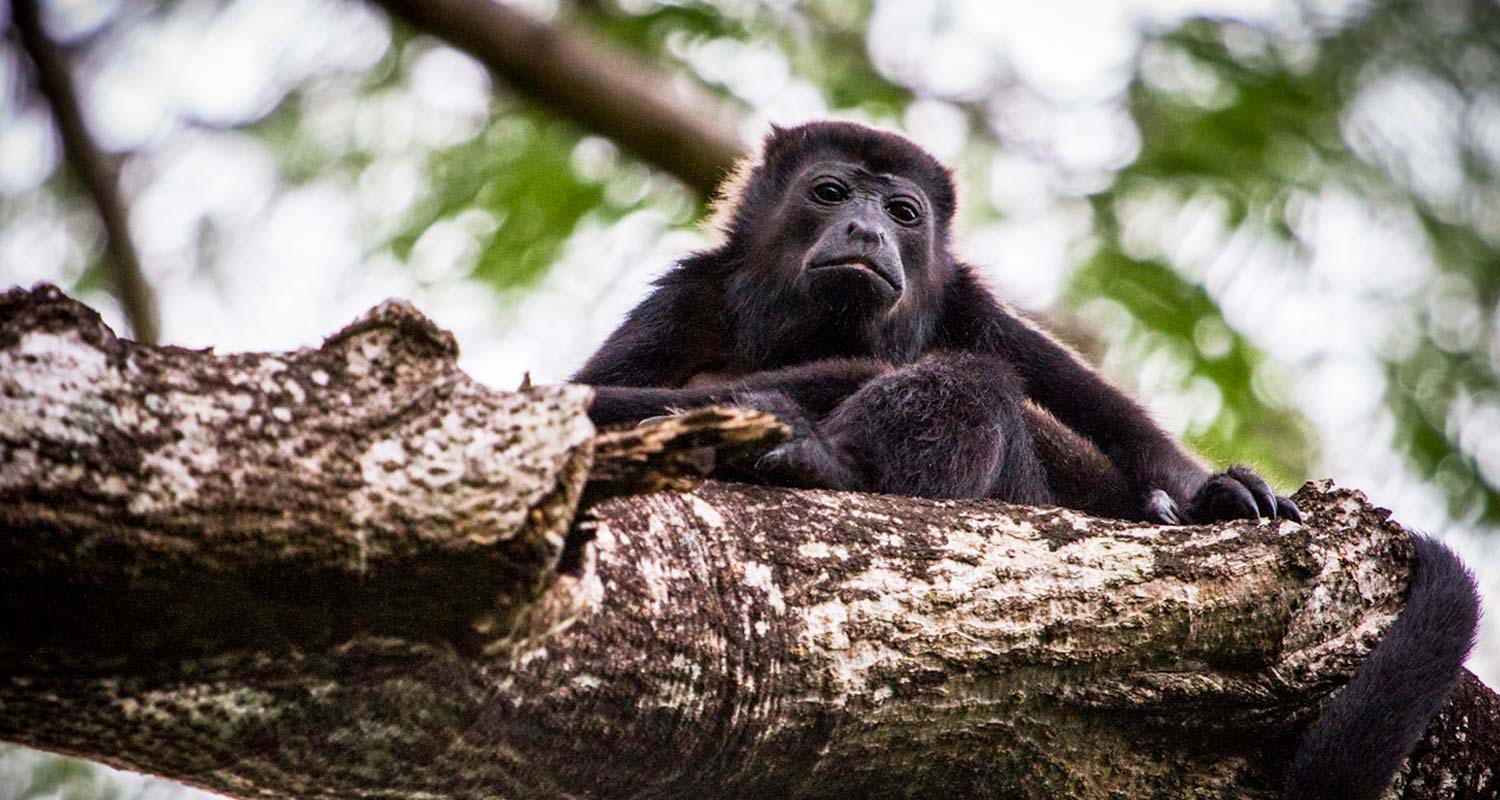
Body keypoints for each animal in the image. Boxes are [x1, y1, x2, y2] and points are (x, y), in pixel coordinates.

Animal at [573, 120, 1476, 798]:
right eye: (829, 193)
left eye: (902, 212)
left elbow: (1096, 407)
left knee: (980, 382)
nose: (866, 229)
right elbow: (583, 404)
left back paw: (825, 460)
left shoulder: (969, 303)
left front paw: (1215, 492)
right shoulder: (682, 300)